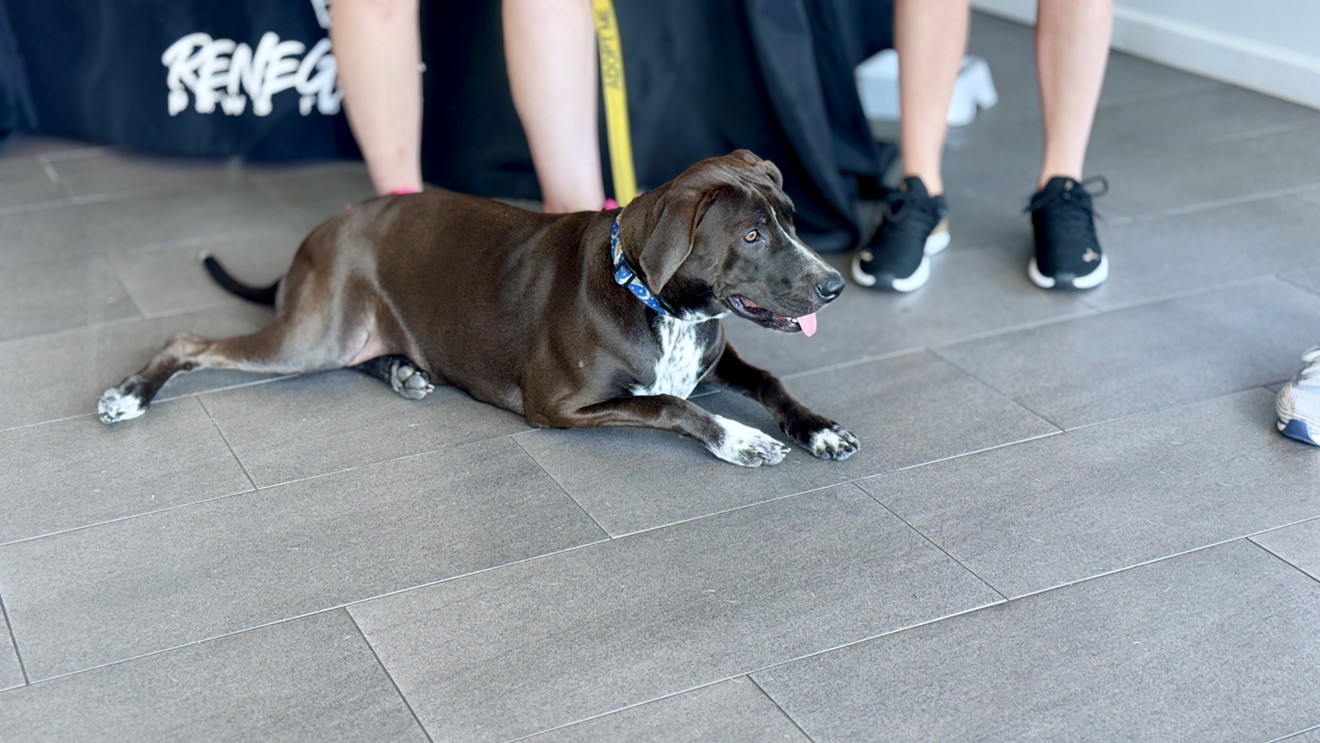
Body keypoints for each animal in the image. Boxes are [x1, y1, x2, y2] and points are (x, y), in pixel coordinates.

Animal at [97, 149, 860, 467]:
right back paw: (128, 395)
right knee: (188, 341)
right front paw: (742, 439)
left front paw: (817, 428)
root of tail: (318, 230)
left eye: (792, 218)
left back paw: (404, 371)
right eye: (752, 236)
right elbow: (671, 405)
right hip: (311, 336)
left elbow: (770, 380)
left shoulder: (716, 354)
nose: (835, 286)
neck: (648, 297)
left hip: (344, 335)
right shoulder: (558, 406)